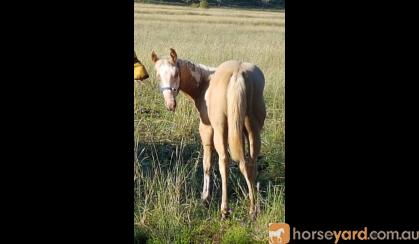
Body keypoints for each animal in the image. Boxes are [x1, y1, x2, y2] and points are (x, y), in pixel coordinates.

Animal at [153, 48, 268, 219]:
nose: (170, 104)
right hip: (253, 130)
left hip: (221, 130)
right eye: (158, 76)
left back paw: (224, 209)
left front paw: (205, 198)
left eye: (176, 74)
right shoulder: (240, 133)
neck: (204, 84)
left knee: (224, 161)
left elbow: (207, 163)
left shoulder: (207, 129)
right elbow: (243, 162)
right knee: (250, 162)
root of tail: (238, 73)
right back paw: (254, 209)